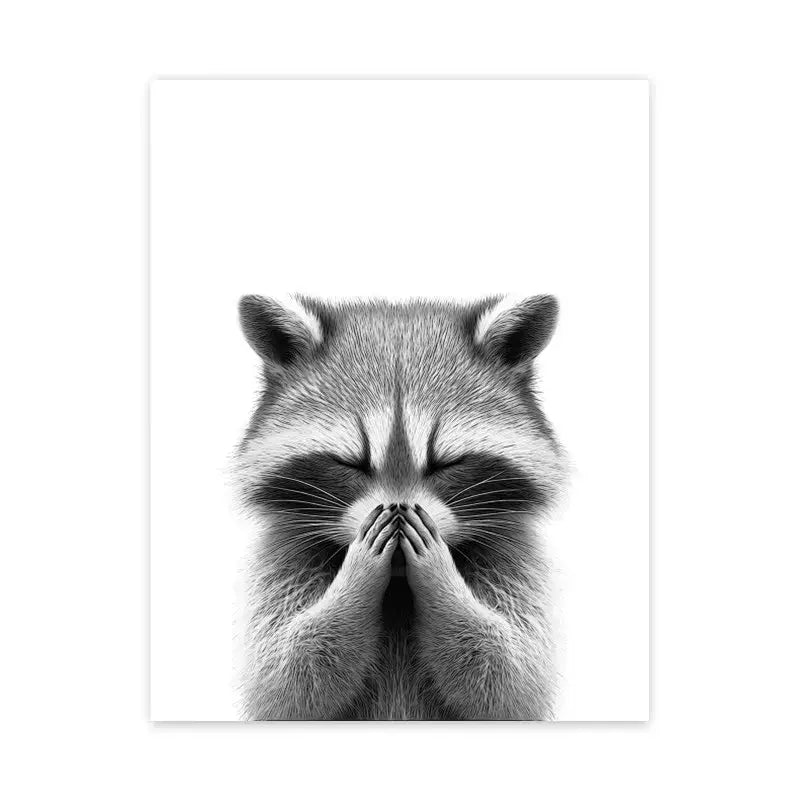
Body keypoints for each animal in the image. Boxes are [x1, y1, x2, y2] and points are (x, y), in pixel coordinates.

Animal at [234, 294, 568, 720]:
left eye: (447, 463)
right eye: (350, 463)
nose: (396, 510)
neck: (397, 584)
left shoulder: (516, 559)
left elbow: (510, 679)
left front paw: (439, 577)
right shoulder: (281, 558)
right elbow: (287, 680)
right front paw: (357, 576)